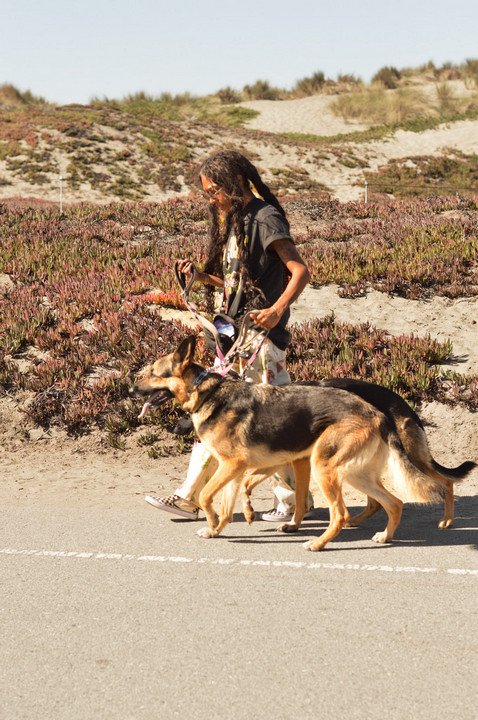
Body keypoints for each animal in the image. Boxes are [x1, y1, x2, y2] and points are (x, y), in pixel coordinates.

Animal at [134, 336, 476, 551]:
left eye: (153, 373)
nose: (130, 388)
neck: (205, 391)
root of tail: (378, 411)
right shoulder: (241, 467)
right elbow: (234, 500)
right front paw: (220, 526)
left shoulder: (234, 465)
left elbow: (207, 496)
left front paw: (218, 521)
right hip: (355, 473)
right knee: (393, 503)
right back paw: (383, 536)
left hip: (328, 467)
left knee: (348, 512)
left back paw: (321, 543)